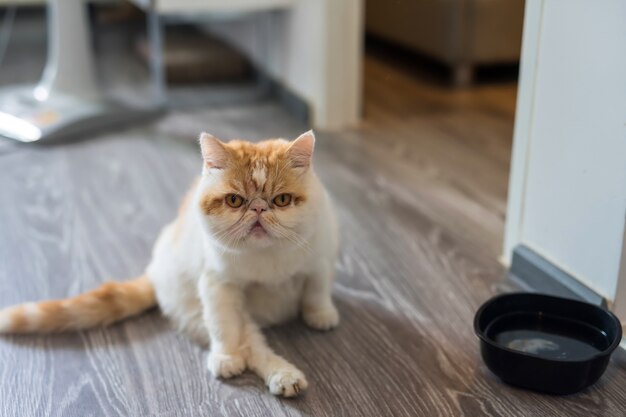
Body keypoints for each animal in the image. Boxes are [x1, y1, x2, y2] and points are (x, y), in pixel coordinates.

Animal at [0, 130, 336, 396]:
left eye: (281, 200)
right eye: (235, 201)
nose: (258, 209)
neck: (267, 256)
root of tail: (156, 269)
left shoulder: (320, 258)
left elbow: (317, 291)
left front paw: (321, 316)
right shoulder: (217, 285)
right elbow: (225, 327)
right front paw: (226, 355)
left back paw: (287, 378)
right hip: (209, 310)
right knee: (251, 344)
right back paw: (272, 372)